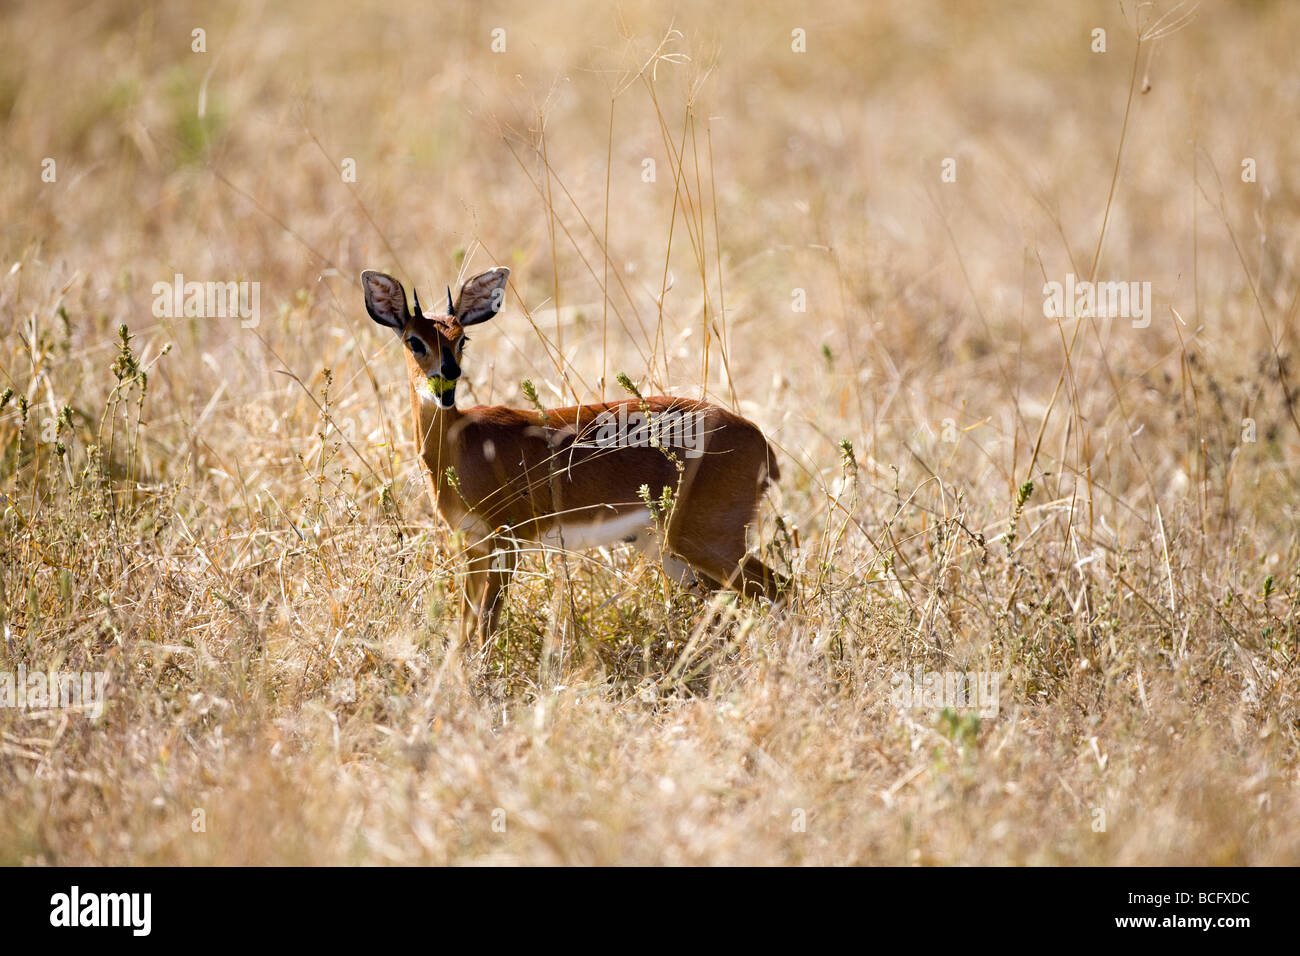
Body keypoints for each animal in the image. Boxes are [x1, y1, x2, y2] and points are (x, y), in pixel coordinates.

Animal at [358, 265, 780, 647]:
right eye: (414, 340)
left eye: (462, 338)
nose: (446, 378)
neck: (461, 446)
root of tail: (758, 438)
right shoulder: (472, 543)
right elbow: (465, 624)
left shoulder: (506, 540)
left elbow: (486, 623)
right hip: (667, 548)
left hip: (706, 540)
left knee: (778, 588)